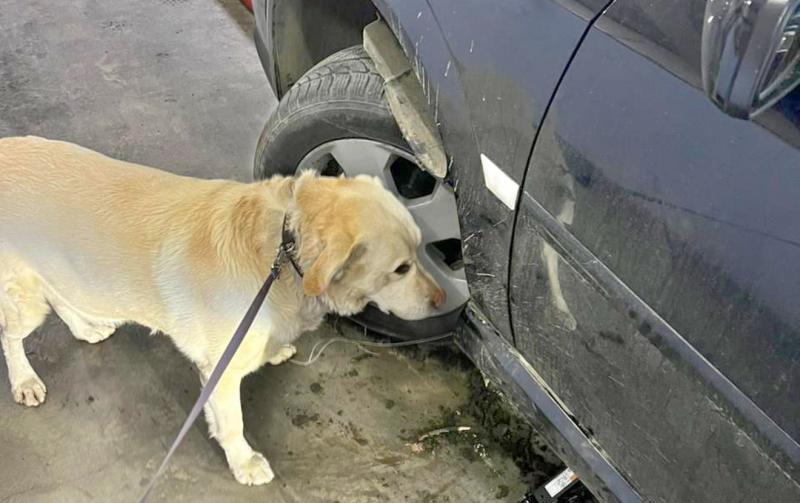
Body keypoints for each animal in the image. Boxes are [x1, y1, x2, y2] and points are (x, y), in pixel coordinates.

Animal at [0, 136, 445, 485]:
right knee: (11, 333)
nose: (443, 302)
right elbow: (232, 424)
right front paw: (244, 463)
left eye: (419, 250)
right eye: (400, 268)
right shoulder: (222, 370)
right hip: (23, 296)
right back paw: (24, 379)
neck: (283, 248)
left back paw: (85, 328)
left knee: (59, 295)